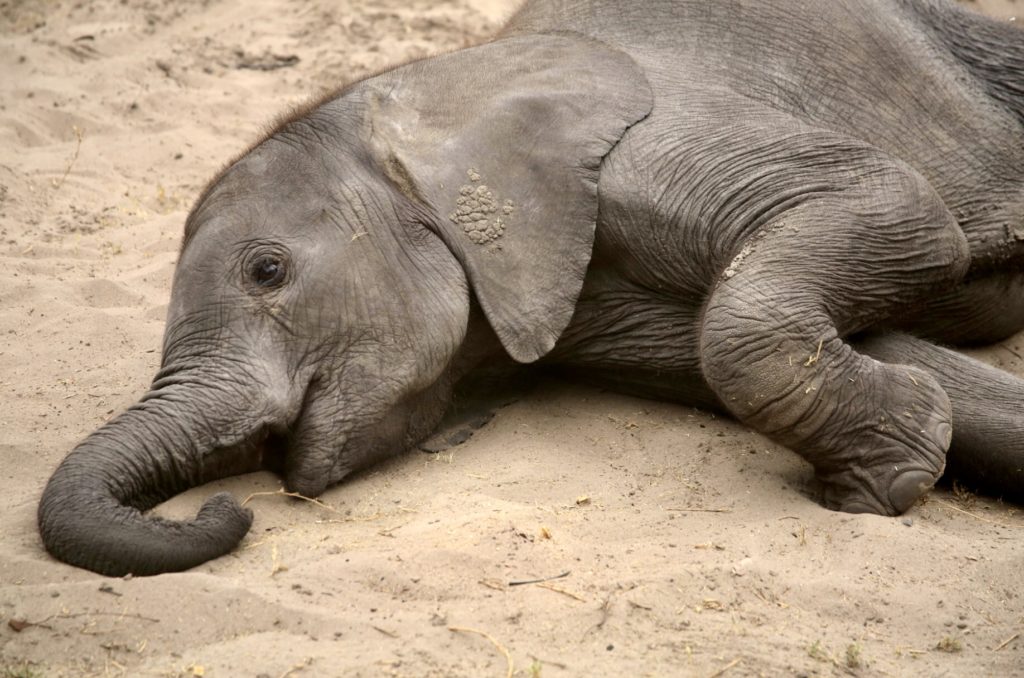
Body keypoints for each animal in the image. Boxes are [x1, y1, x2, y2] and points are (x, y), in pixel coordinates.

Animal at [38, 0, 1024, 576]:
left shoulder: (656, 143)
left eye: (266, 270)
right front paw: (902, 455)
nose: (225, 504)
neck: (415, 97)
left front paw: (878, 487)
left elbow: (901, 208)